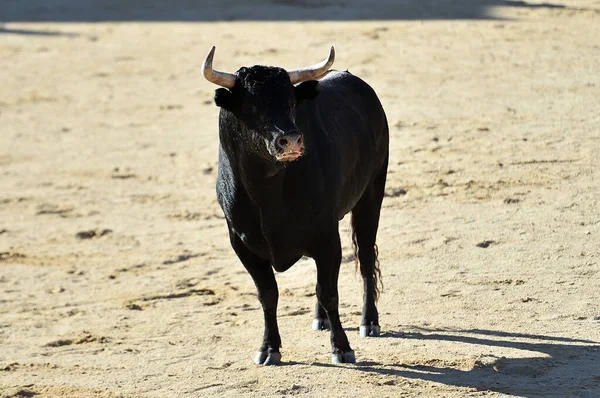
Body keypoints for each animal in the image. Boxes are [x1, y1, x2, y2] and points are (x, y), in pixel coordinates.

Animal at [204, 49, 386, 364]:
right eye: (249, 105)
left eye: (291, 102)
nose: (290, 140)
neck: (266, 193)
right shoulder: (241, 243)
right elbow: (268, 294)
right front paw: (269, 348)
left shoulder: (326, 236)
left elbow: (328, 291)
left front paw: (342, 347)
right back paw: (320, 319)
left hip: (371, 194)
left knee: (365, 259)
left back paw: (369, 321)